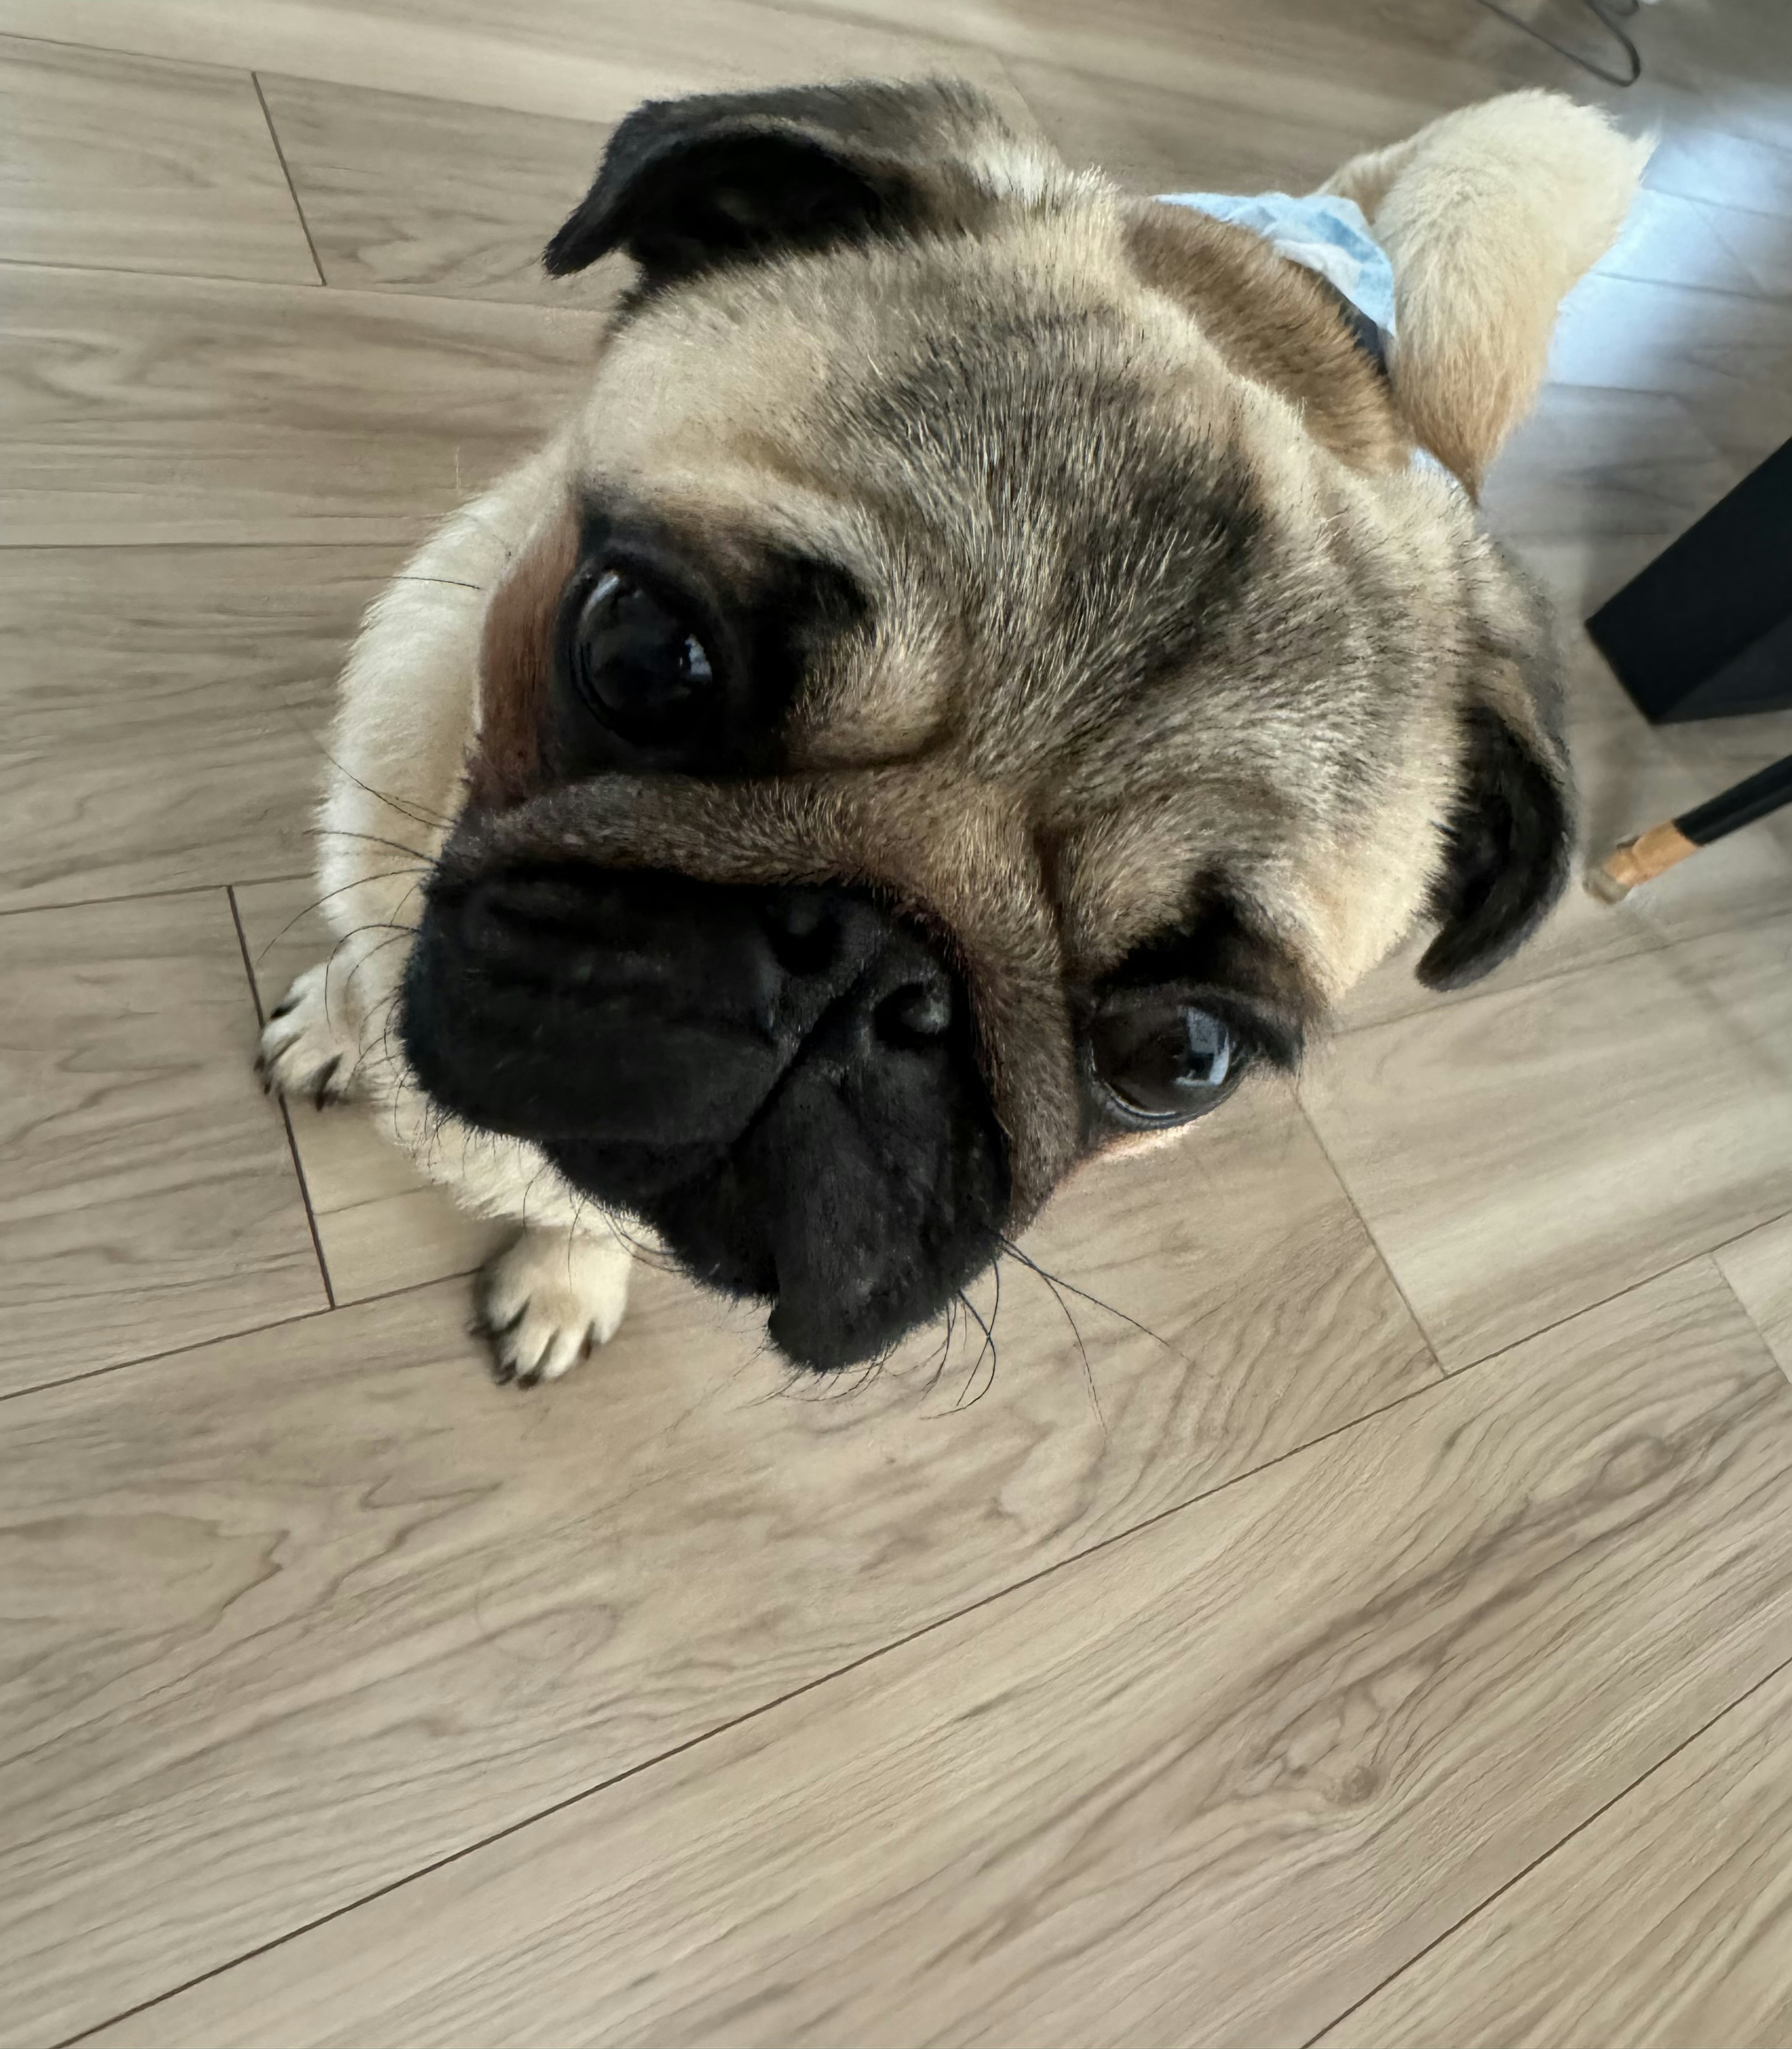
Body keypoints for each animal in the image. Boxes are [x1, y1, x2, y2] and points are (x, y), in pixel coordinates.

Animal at [259, 88, 1646, 1385]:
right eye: (645, 654)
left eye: (1184, 1055)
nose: (861, 972)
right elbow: (366, 963)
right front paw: (339, 1021)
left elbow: (591, 1208)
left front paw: (565, 1273)